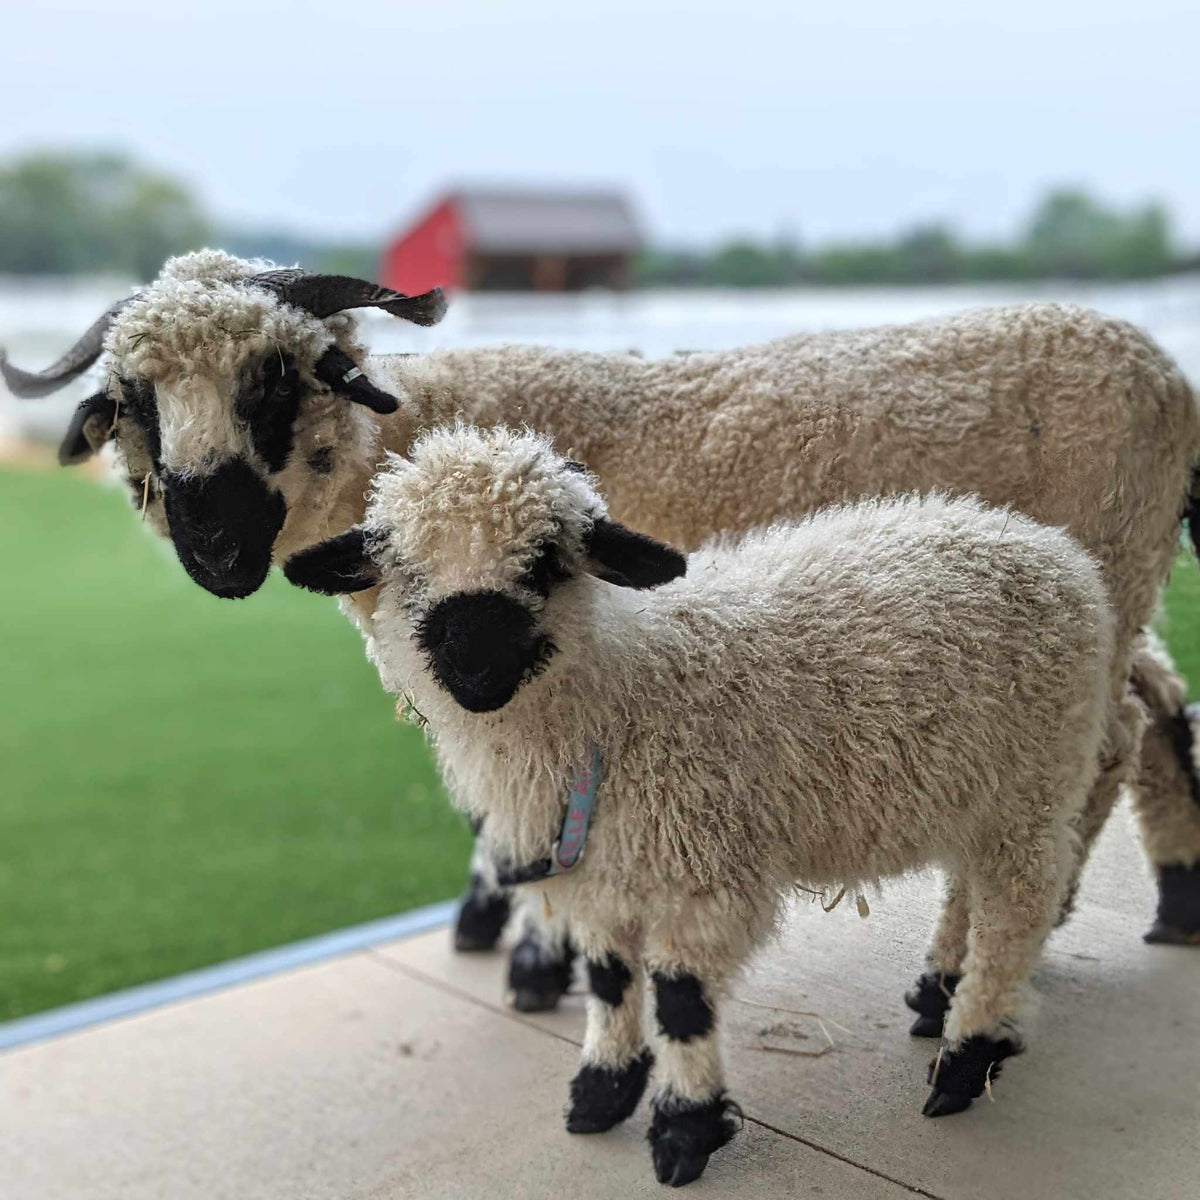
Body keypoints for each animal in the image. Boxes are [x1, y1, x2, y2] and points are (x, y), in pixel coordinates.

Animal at [4, 248, 1200, 993]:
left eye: (275, 381)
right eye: (135, 403)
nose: (212, 547)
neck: (425, 431)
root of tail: (1164, 372)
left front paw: (538, 959)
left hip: (1101, 578)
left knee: (1103, 747)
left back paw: (972, 970)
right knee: (1149, 718)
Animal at [283, 425, 1116, 1186]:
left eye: (548, 562)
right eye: (403, 569)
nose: (475, 665)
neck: (618, 699)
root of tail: (1047, 547)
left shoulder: (700, 875)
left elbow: (681, 1003)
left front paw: (685, 1129)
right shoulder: (602, 880)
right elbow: (610, 981)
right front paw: (602, 1092)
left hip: (1035, 779)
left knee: (1018, 905)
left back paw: (967, 1052)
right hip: (976, 785)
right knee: (967, 887)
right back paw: (939, 992)